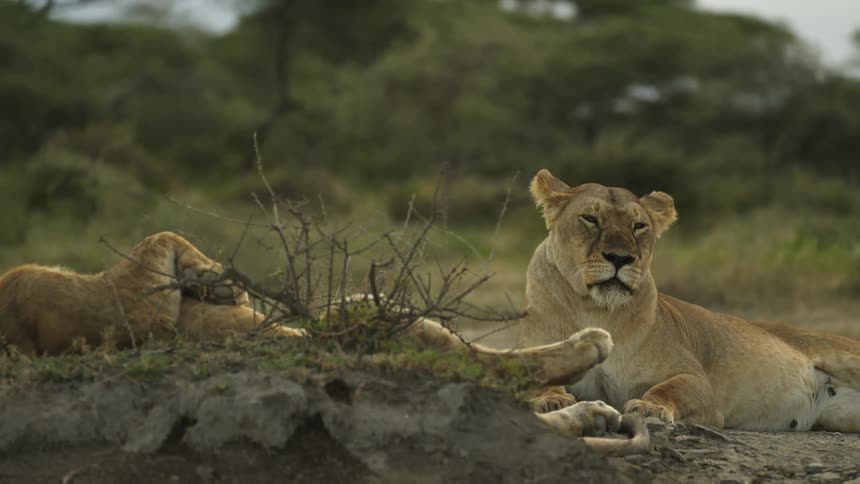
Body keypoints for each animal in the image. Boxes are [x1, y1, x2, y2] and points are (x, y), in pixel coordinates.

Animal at [0, 231, 647, 452]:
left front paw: (217, 285)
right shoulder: (125, 311)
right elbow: (159, 239)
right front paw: (216, 282)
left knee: (491, 381)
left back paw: (587, 412)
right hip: (369, 313)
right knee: (483, 365)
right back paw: (588, 352)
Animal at [519, 168, 860, 433]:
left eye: (639, 226)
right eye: (590, 218)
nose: (620, 258)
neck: (598, 310)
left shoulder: (697, 381)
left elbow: (671, 388)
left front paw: (649, 408)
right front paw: (553, 399)